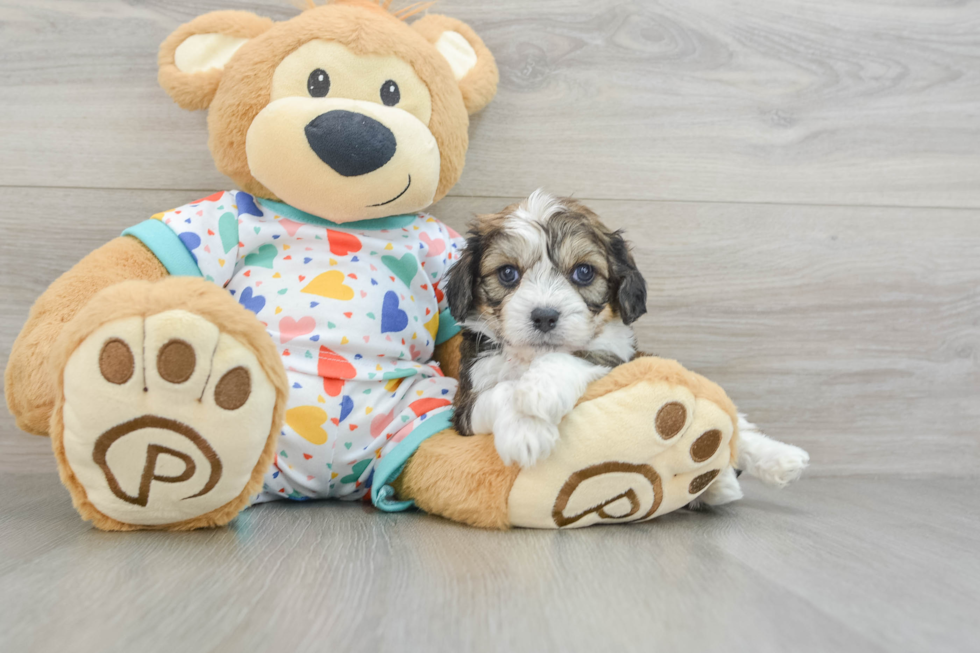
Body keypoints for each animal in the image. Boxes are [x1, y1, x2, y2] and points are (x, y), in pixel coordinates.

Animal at [448, 188, 808, 504]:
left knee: (738, 428)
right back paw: (719, 486)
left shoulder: (620, 360)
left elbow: (578, 356)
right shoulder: (467, 403)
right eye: (507, 273)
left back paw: (779, 460)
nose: (545, 316)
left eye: (583, 272)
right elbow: (501, 392)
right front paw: (525, 431)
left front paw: (540, 391)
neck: (530, 358)